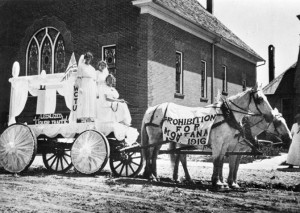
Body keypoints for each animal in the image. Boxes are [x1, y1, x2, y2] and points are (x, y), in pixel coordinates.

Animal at [142, 85, 276, 186]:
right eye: (260, 99)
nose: (271, 116)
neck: (226, 115)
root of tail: (152, 109)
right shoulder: (219, 142)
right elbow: (217, 160)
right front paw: (216, 181)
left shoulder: (225, 143)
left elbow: (221, 160)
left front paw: (222, 182)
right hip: (154, 136)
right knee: (149, 153)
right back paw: (151, 176)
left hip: (163, 138)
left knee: (160, 155)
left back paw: (160, 176)